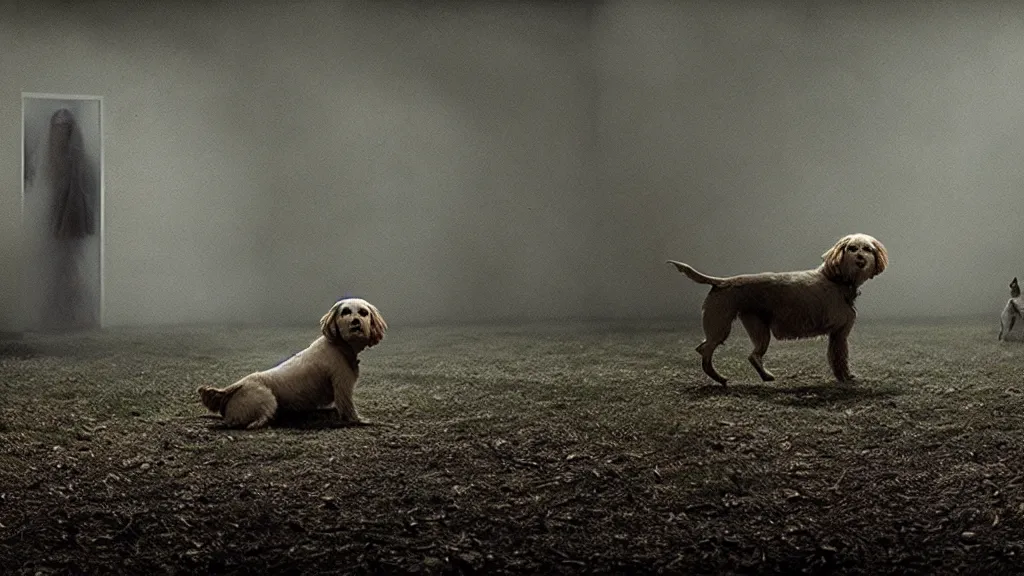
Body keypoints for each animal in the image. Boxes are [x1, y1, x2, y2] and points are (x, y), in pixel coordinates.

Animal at [198, 297, 387, 428]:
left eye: (363, 313)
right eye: (345, 312)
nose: (356, 322)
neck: (339, 345)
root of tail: (231, 389)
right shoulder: (342, 384)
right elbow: (348, 408)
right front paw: (361, 420)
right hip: (267, 399)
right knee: (252, 422)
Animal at [671, 233, 888, 385]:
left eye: (867, 249)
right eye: (852, 248)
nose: (861, 259)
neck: (836, 279)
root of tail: (723, 282)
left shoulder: (837, 335)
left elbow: (838, 357)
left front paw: (844, 376)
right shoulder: (840, 333)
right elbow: (840, 358)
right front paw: (846, 377)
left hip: (758, 330)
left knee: (751, 356)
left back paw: (765, 376)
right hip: (721, 326)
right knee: (706, 350)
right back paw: (720, 378)